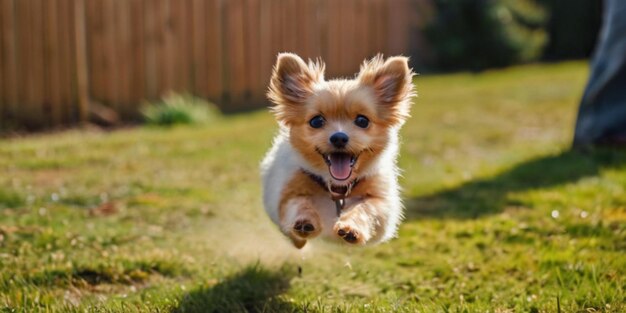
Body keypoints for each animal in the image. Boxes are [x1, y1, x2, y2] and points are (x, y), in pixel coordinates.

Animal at [260, 52, 414, 247]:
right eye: (316, 121)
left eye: (362, 121)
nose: (339, 137)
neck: (337, 188)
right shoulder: (285, 195)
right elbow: (299, 202)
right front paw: (305, 221)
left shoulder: (382, 205)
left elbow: (366, 208)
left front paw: (350, 228)